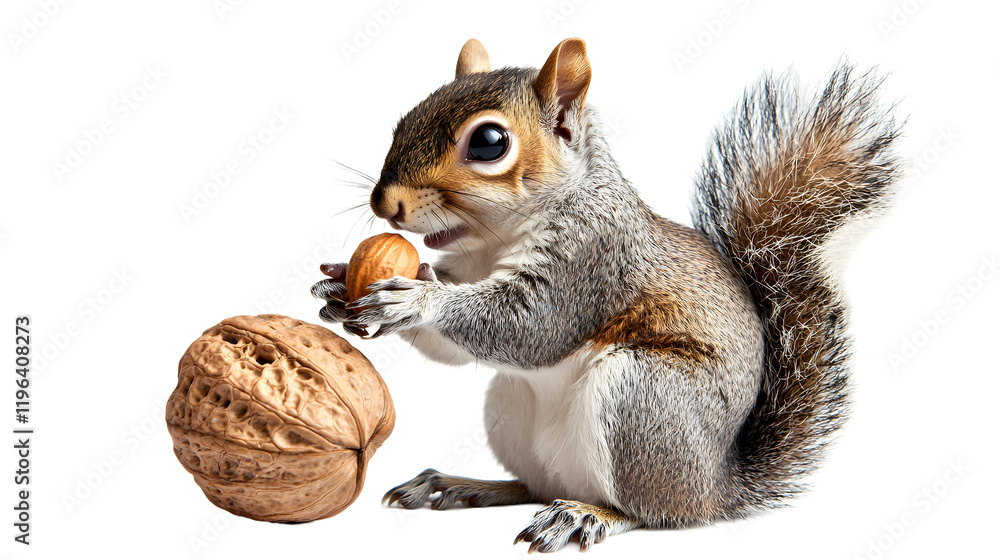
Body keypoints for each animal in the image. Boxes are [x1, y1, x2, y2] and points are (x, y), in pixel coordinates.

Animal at [312, 38, 900, 552]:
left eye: (488, 142)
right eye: (404, 119)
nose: (385, 202)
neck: (494, 241)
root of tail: (717, 485)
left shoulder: (592, 259)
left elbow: (529, 328)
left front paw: (413, 302)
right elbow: (454, 345)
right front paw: (341, 286)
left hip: (643, 397)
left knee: (648, 511)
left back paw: (585, 516)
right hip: (512, 411)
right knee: (537, 486)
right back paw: (461, 486)